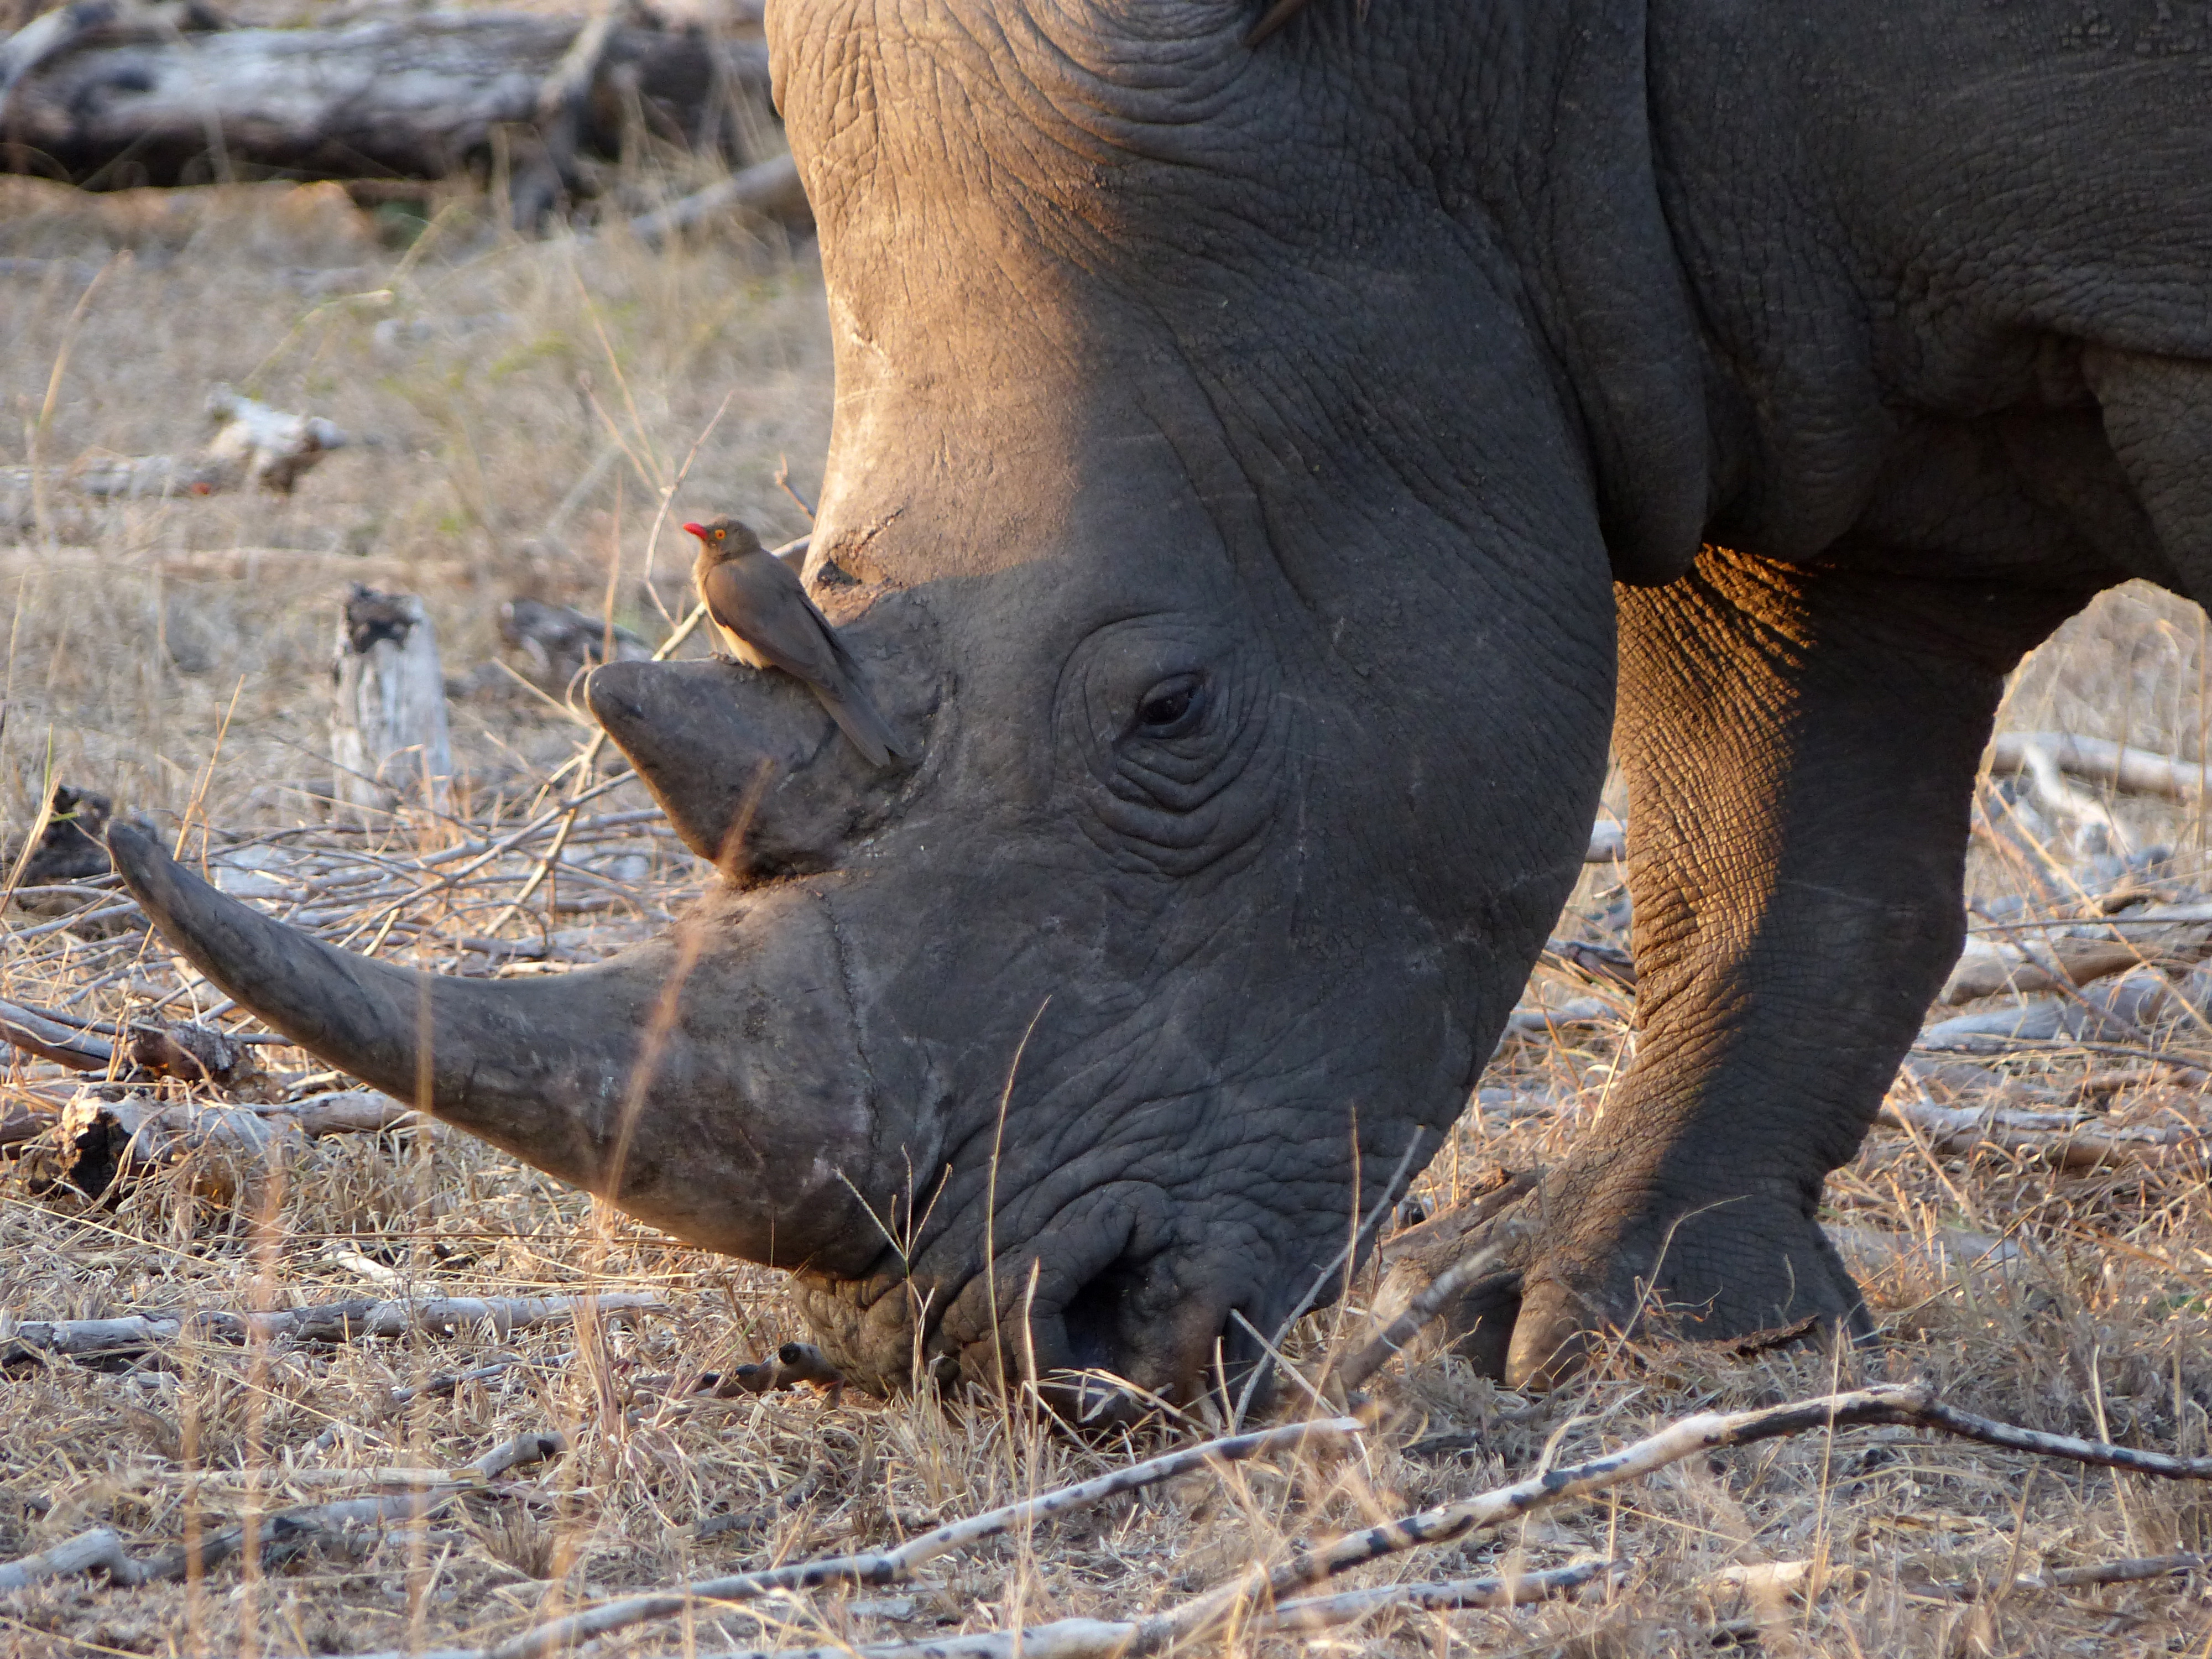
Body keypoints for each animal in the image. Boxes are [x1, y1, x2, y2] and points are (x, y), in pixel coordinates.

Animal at [109, 0, 2212, 1406]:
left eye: (1171, 709)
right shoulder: (1721, 331)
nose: (1008, 1349)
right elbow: (1771, 852)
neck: (1492, 74)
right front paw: (1633, 1338)